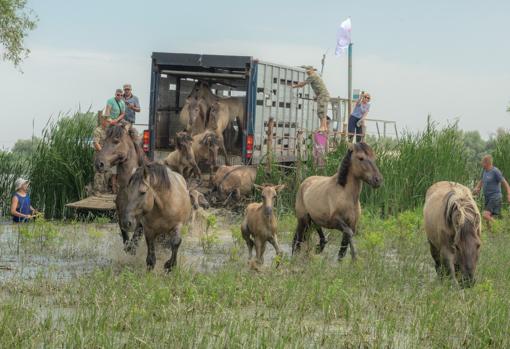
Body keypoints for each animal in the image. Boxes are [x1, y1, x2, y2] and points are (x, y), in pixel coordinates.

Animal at [94, 122, 146, 253]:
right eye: (104, 140)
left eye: (116, 141)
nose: (99, 164)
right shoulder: (121, 216)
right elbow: (126, 239)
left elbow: (135, 239)